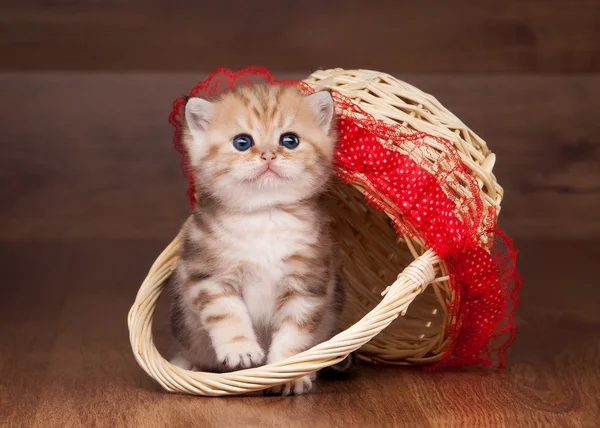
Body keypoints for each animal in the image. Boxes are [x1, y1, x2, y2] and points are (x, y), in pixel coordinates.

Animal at [168, 83, 346, 394]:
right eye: (242, 142)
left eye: (289, 140)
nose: (268, 155)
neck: (265, 215)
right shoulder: (210, 276)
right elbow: (227, 315)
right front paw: (241, 351)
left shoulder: (307, 283)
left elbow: (294, 333)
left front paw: (287, 373)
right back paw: (185, 364)